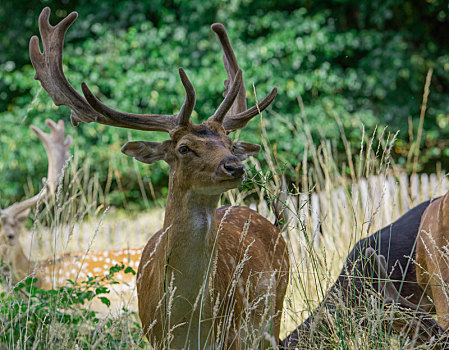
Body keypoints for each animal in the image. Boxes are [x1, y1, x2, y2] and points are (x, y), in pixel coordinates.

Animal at [30, 6, 290, 348]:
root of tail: (272, 225)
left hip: (274, 312)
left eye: (230, 143)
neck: (186, 319)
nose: (235, 166)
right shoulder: (155, 335)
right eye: (184, 148)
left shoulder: (232, 333)